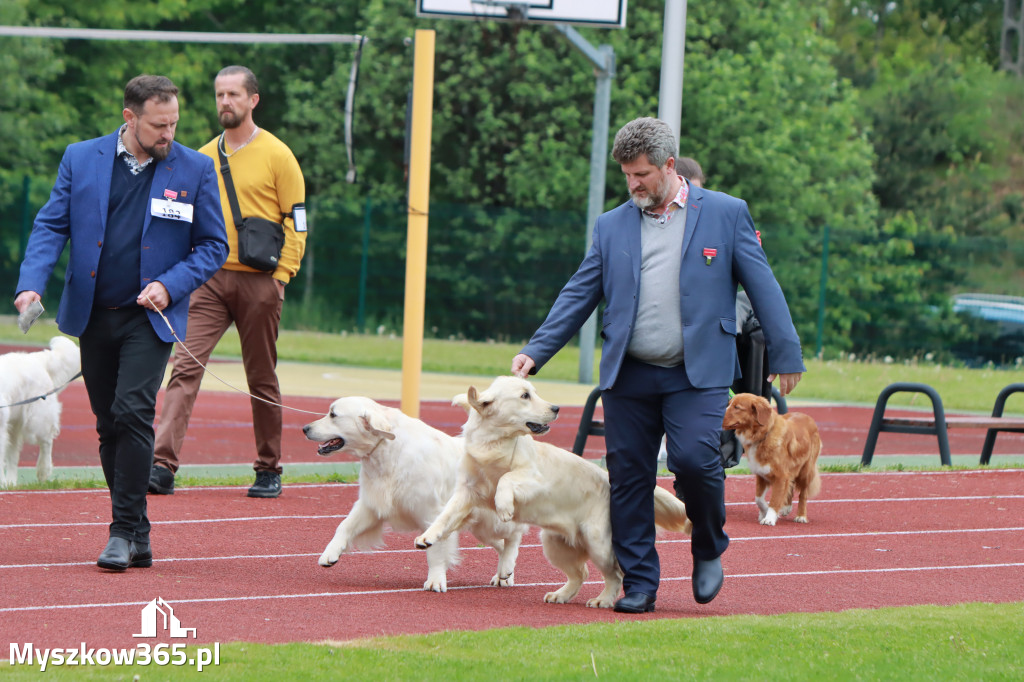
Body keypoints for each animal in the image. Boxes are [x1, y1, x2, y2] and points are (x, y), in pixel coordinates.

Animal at [0, 333, 80, 483]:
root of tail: (36, 358)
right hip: (13, 425)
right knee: (13, 456)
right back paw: (10, 483)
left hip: (36, 420)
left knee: (46, 442)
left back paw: (43, 471)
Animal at [301, 395, 528, 593]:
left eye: (333, 414)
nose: (305, 428)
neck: (389, 451)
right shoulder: (371, 505)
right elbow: (344, 526)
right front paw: (330, 554)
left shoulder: (432, 513)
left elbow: (434, 551)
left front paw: (435, 580)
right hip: (480, 527)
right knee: (501, 545)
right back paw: (504, 575)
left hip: (493, 521)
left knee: (513, 538)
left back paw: (506, 568)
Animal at [411, 376, 692, 606]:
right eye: (525, 395)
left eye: (533, 392)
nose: (556, 409)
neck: (492, 444)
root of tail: (608, 479)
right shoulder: (466, 493)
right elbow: (445, 517)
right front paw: (427, 537)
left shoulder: (534, 478)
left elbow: (506, 479)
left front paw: (504, 505)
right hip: (554, 543)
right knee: (581, 573)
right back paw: (561, 595)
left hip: (598, 541)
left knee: (615, 573)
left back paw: (603, 600)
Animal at [720, 391, 823, 522]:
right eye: (728, 404)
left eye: (737, 407)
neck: (762, 435)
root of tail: (808, 417)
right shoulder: (762, 473)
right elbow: (758, 499)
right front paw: (764, 511)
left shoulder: (781, 475)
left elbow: (775, 499)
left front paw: (769, 518)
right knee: (790, 486)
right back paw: (786, 507)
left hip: (806, 471)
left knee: (803, 494)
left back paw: (801, 516)